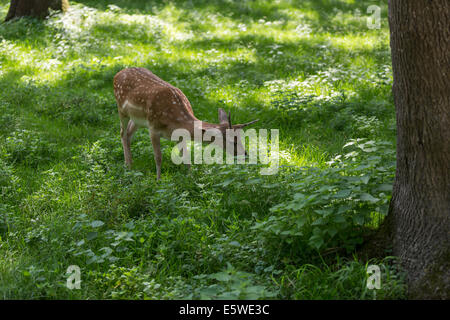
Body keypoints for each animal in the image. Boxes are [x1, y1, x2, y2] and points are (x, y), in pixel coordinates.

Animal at [114, 67, 258, 180]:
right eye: (232, 141)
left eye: (240, 138)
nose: (245, 154)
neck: (175, 121)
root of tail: (117, 74)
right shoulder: (153, 128)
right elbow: (158, 157)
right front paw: (158, 180)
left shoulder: (181, 134)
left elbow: (187, 158)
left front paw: (190, 177)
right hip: (121, 109)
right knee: (122, 133)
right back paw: (128, 166)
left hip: (137, 119)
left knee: (129, 133)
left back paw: (130, 163)